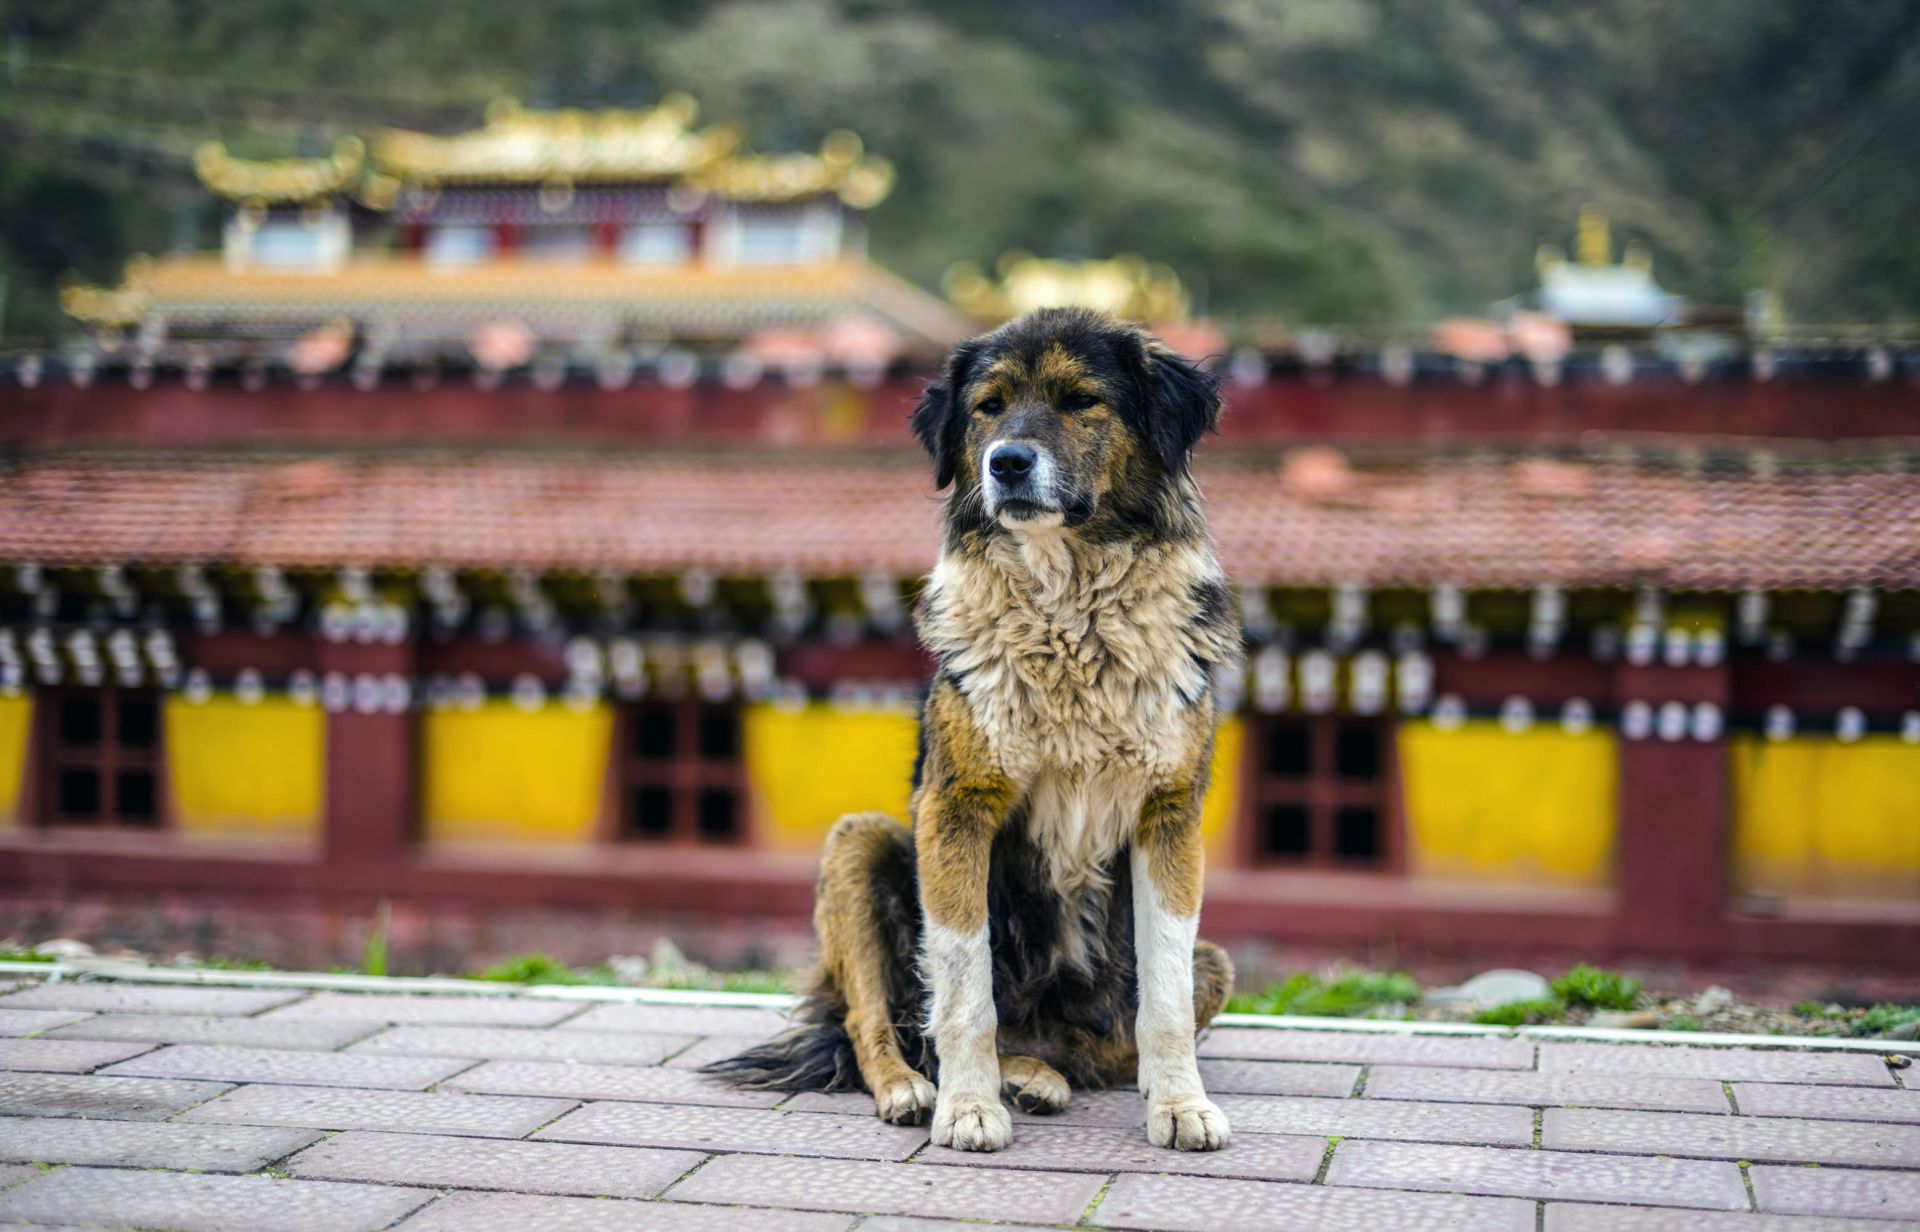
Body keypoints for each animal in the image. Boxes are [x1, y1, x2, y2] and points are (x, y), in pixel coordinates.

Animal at [714, 307, 1236, 1151]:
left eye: (1081, 401)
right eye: (989, 408)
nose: (1008, 462)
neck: (1070, 612)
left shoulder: (1170, 816)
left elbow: (1163, 997)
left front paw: (1181, 1106)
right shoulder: (955, 806)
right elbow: (963, 986)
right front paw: (967, 1107)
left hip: (1215, 963)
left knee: (1102, 1050)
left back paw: (1036, 1075)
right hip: (862, 842)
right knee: (880, 1022)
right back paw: (922, 1088)